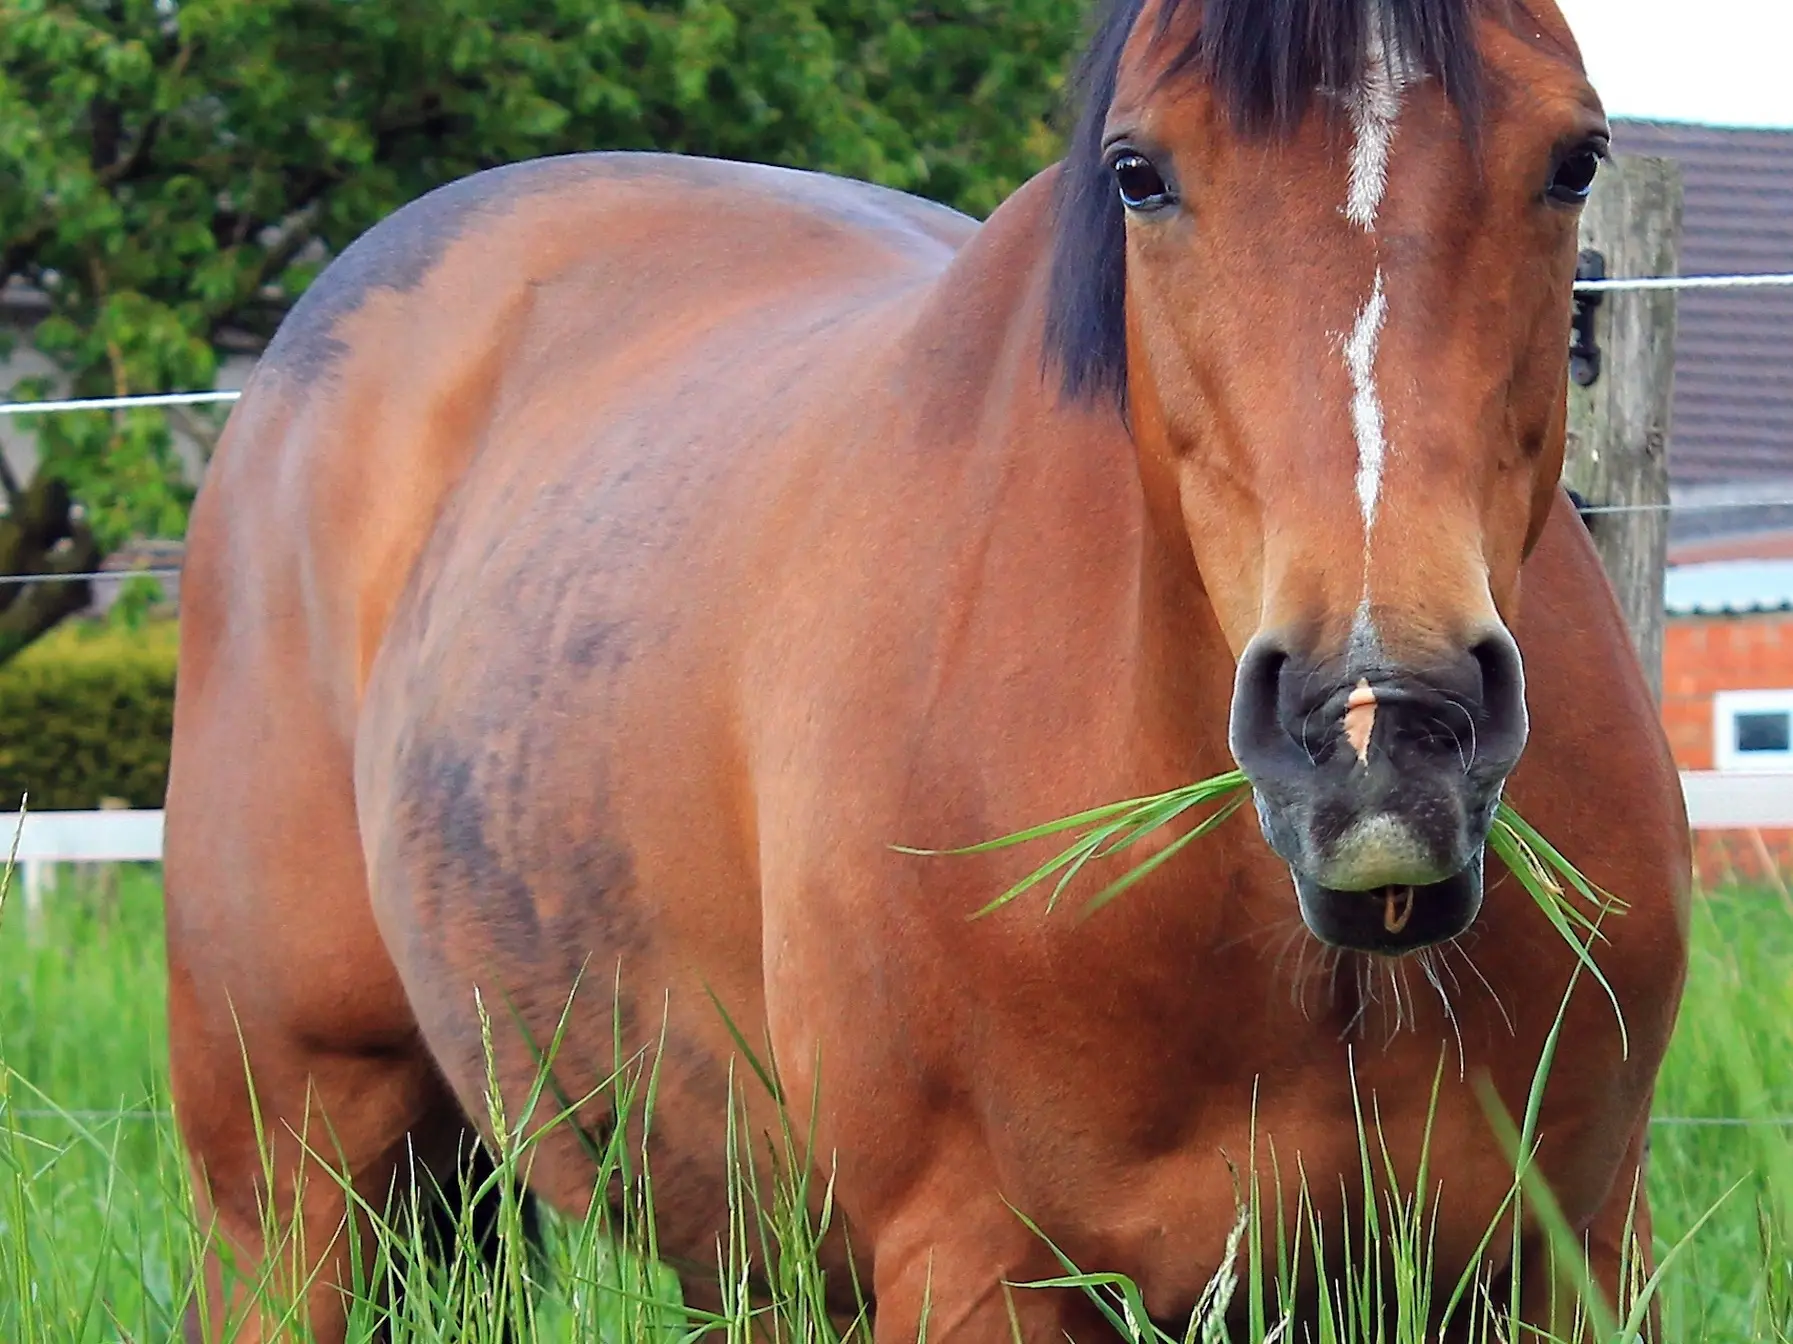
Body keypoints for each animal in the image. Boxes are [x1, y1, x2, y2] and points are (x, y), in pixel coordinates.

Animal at [161, 0, 1685, 1333]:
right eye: (1137, 171)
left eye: (1571, 156)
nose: (1379, 728)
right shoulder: (973, 1268)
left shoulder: (1571, 1256)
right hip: (291, 1184)